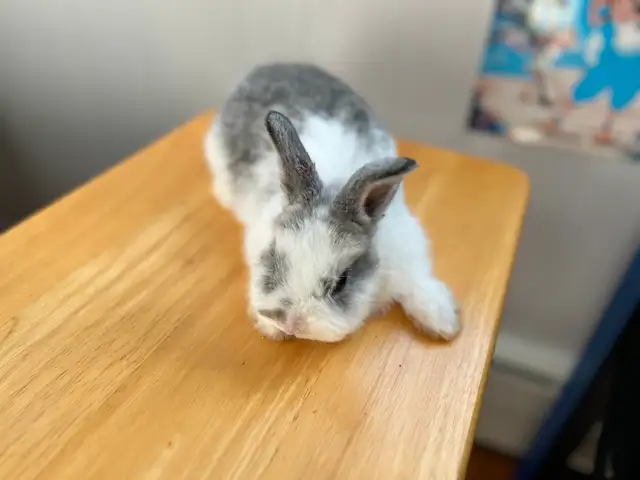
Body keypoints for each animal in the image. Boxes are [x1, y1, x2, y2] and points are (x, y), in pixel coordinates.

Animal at [203, 63, 461, 343]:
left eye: (341, 282)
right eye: (273, 255)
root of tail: (272, 66)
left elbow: (419, 283)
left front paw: (444, 322)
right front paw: (269, 329)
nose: (291, 324)